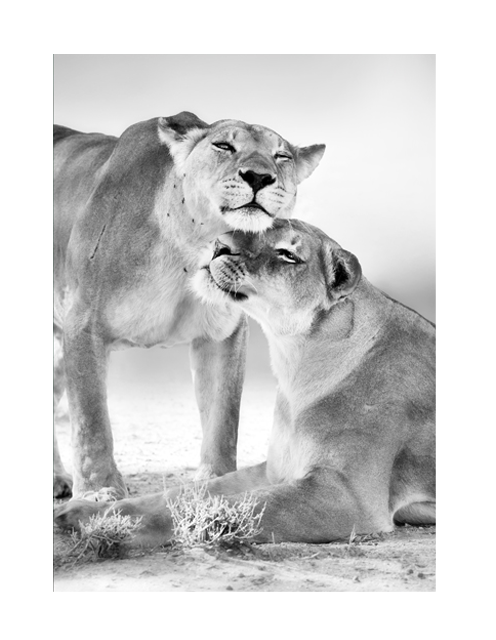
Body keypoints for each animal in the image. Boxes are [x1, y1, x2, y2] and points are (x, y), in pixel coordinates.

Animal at [53, 112, 325, 500]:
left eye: (281, 156)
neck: (193, 248)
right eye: (223, 146)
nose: (259, 177)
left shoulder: (222, 334)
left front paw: (216, 481)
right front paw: (99, 492)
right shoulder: (82, 323)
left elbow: (223, 414)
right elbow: (91, 419)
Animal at [54, 219, 435, 545]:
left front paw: (118, 529)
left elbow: (220, 505)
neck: (295, 363)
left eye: (287, 254)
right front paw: (88, 509)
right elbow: (186, 492)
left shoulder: (346, 496)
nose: (219, 245)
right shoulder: (275, 470)